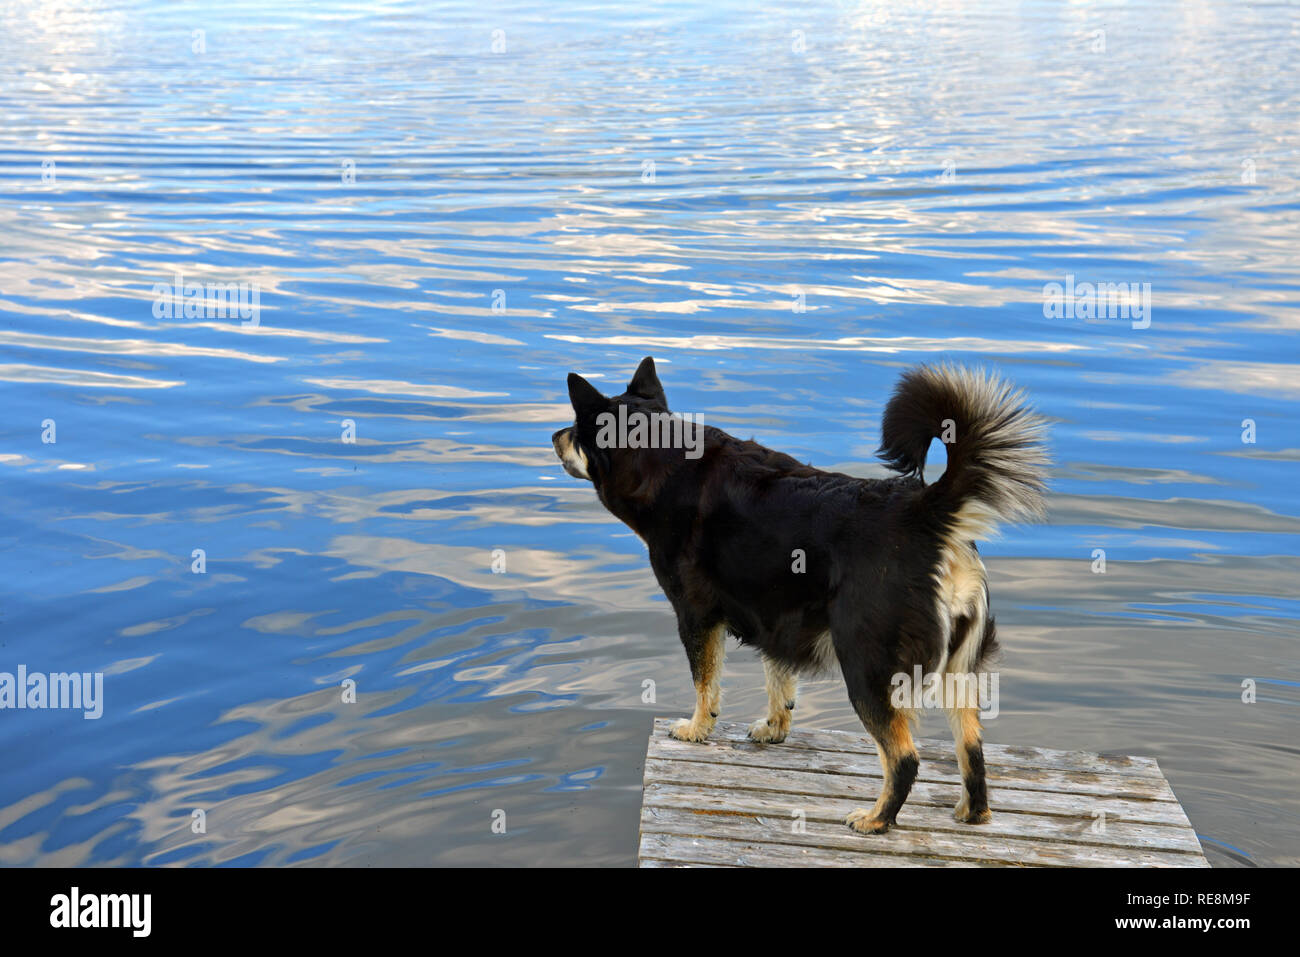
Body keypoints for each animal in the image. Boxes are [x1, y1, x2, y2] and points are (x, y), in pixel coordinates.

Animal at [548, 356, 1045, 832]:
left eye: (574, 429)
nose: (553, 436)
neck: (663, 461)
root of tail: (924, 512)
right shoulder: (777, 613)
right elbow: (778, 678)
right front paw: (774, 727)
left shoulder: (696, 615)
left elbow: (705, 683)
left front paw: (697, 728)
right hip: (960, 669)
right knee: (972, 749)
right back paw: (972, 812)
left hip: (866, 667)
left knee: (903, 758)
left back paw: (877, 820)